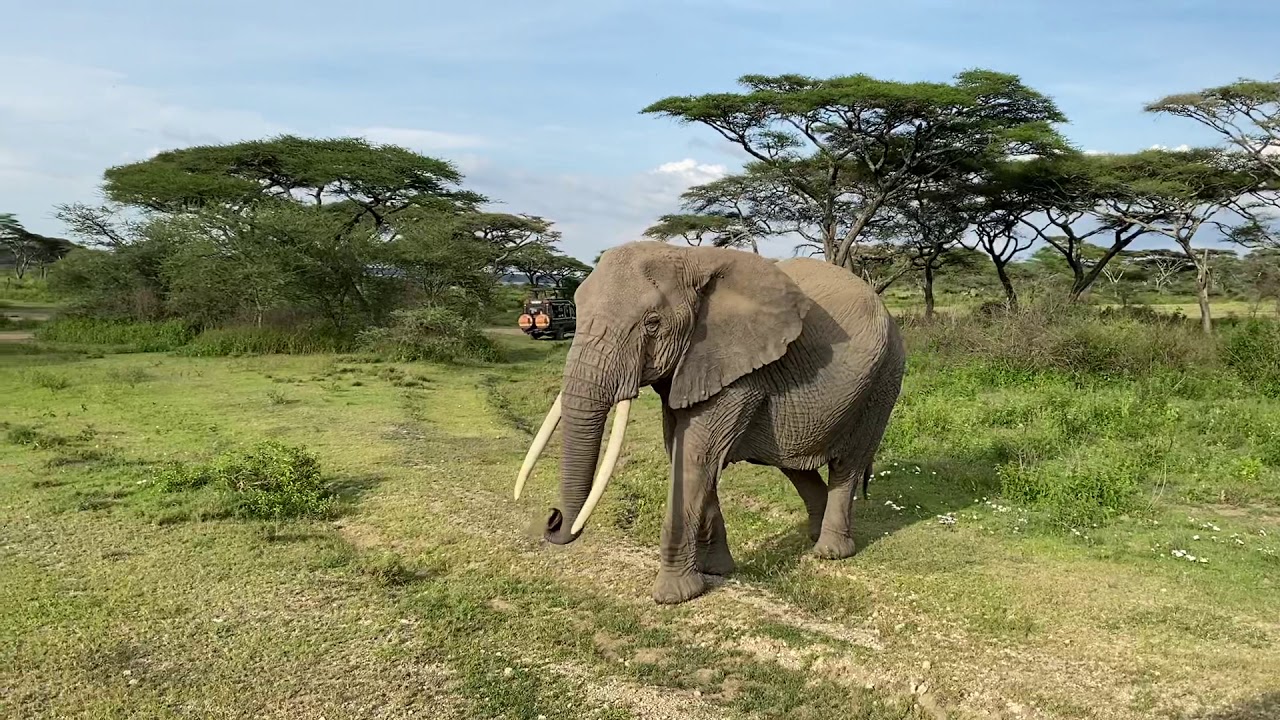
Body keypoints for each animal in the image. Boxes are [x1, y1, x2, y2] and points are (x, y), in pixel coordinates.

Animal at [513, 241, 906, 605]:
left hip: (884, 380)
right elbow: (683, 451)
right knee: (794, 464)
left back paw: (830, 552)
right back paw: (815, 535)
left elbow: (695, 457)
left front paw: (674, 596)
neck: (692, 259)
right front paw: (715, 571)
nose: (552, 519)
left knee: (848, 464)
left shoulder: (739, 369)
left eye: (652, 323)